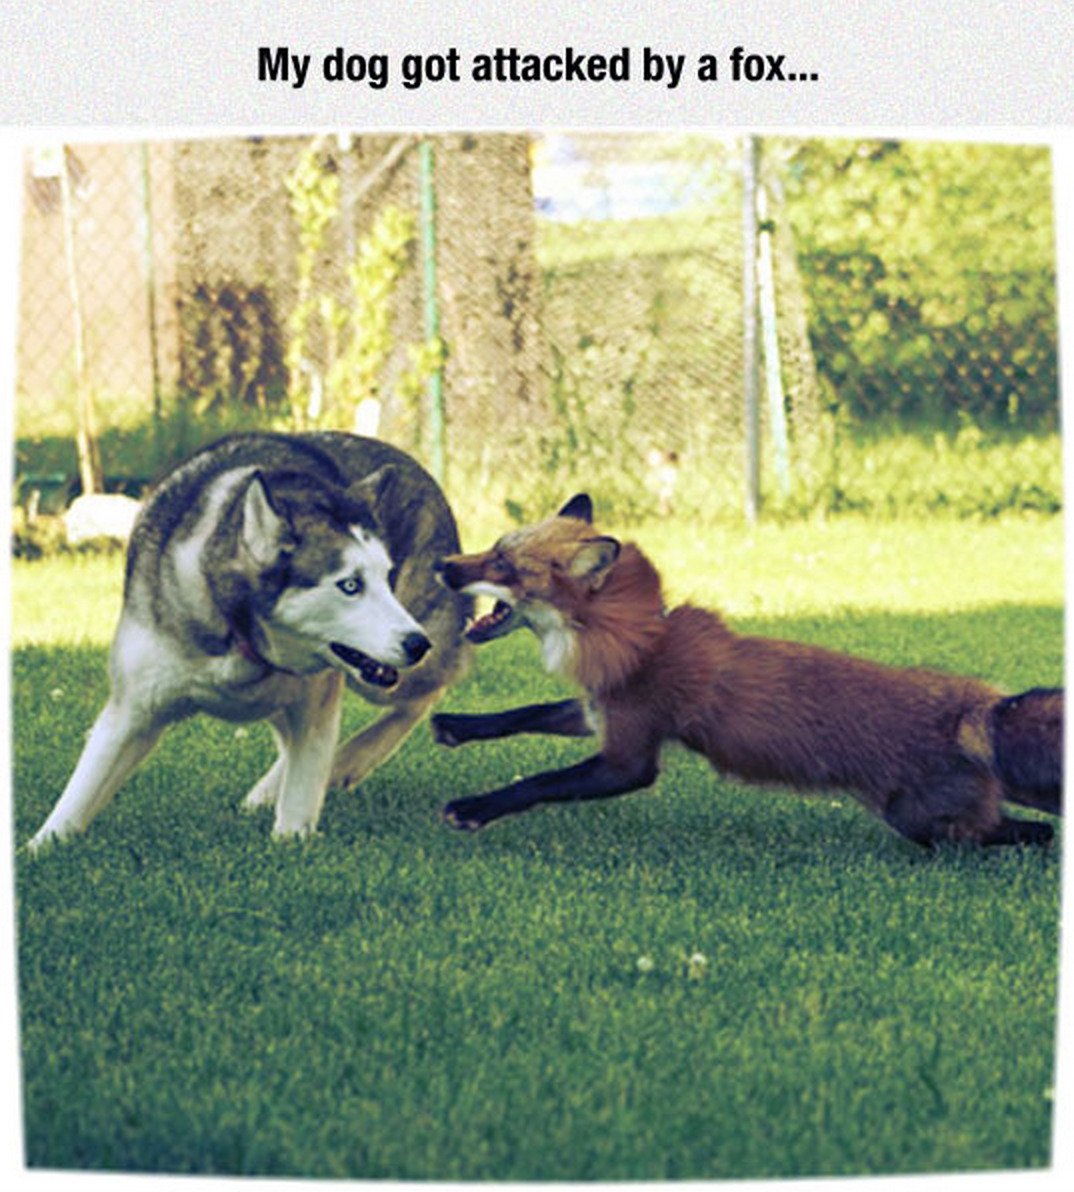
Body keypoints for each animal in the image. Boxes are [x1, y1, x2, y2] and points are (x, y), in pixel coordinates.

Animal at [432, 494, 1062, 848]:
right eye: (491, 547)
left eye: (503, 564)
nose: (443, 566)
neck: (640, 638)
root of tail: (980, 709)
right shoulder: (601, 710)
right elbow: (525, 712)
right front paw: (457, 726)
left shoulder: (628, 759)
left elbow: (539, 783)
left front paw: (475, 808)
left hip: (919, 820)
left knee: (1034, 833)